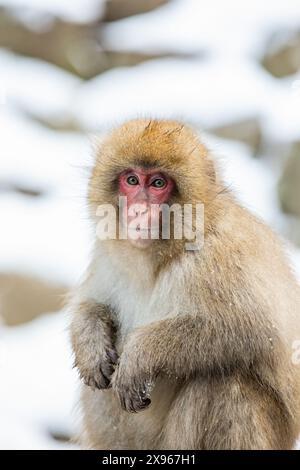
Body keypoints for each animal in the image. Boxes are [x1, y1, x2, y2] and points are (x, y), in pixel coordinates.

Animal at [69, 117, 300, 448]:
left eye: (158, 184)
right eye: (132, 180)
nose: (138, 210)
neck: (164, 253)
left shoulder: (218, 257)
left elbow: (251, 328)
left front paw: (140, 355)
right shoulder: (108, 253)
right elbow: (93, 304)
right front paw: (90, 343)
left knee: (222, 381)